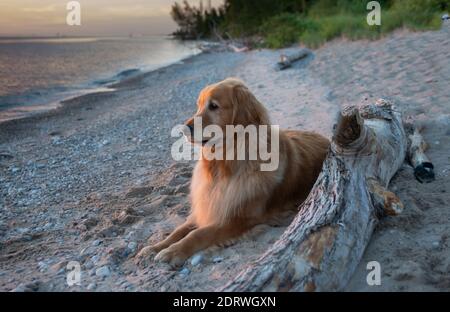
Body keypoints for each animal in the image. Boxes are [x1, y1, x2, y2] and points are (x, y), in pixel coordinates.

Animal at [135, 77, 328, 266]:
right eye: (199, 105)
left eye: (213, 106)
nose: (183, 130)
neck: (224, 162)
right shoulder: (207, 206)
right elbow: (179, 230)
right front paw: (156, 247)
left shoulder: (239, 219)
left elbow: (199, 233)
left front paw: (174, 251)